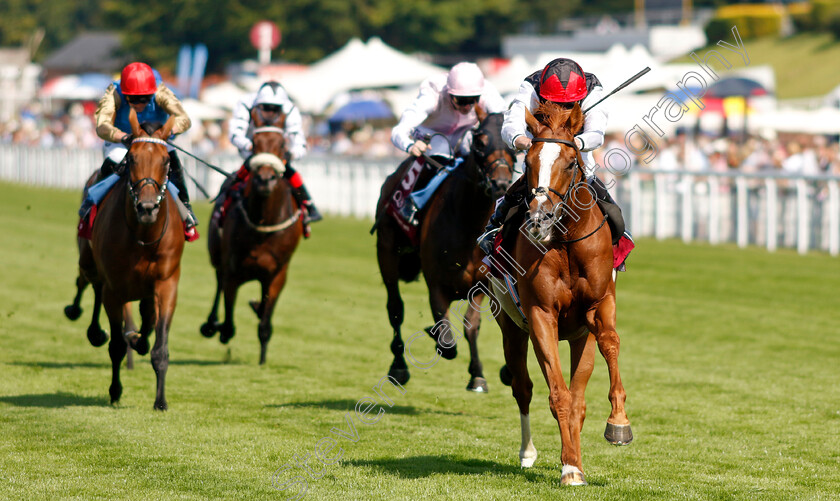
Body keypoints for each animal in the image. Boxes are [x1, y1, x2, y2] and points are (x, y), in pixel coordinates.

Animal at [76, 110, 185, 410]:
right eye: (132, 158)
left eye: (166, 160)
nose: (147, 208)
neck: (143, 237)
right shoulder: (114, 288)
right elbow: (115, 346)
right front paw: (115, 391)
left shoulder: (166, 283)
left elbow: (160, 346)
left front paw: (161, 401)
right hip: (90, 261)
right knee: (90, 283)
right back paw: (94, 330)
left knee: (146, 315)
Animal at [199, 107, 302, 364]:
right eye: (255, 143)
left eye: (282, 144)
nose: (265, 179)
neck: (263, 224)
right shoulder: (232, 270)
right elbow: (228, 322)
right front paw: (220, 328)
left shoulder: (277, 274)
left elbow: (265, 323)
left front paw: (263, 358)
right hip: (217, 255)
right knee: (218, 284)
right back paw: (211, 324)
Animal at [376, 109, 520, 390]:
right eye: (479, 141)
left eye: (511, 145)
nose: (500, 183)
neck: (468, 224)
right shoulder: (436, 284)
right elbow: (446, 342)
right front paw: (433, 336)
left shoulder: (481, 284)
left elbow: (471, 326)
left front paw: (479, 375)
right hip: (387, 251)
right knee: (395, 309)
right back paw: (398, 366)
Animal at [492, 102, 632, 484]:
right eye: (528, 161)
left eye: (570, 163)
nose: (540, 219)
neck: (566, 241)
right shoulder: (541, 315)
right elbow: (558, 396)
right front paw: (569, 466)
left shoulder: (599, 305)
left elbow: (610, 342)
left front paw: (619, 423)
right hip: (511, 326)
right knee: (524, 388)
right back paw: (531, 454)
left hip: (579, 337)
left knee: (579, 398)